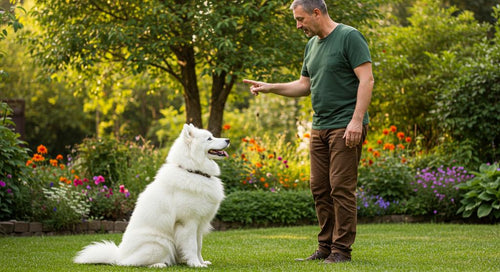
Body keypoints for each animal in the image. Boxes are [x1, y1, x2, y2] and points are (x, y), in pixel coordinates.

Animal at [73, 124, 229, 268]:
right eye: (209, 138)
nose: (228, 140)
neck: (193, 171)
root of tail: (119, 256)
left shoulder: (199, 224)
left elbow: (199, 246)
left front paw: (202, 262)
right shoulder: (188, 223)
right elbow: (192, 246)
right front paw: (196, 264)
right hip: (161, 243)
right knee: (135, 263)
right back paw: (159, 264)